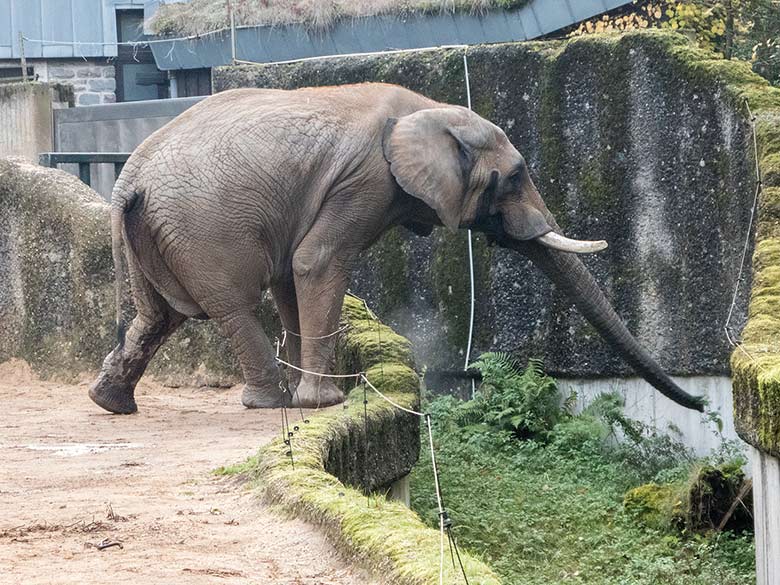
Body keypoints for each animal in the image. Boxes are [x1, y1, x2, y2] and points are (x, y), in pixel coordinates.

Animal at [88, 82, 704, 412]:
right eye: (514, 176)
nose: (699, 404)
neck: (428, 107)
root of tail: (127, 176)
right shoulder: (366, 180)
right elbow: (315, 261)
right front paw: (324, 404)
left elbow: (293, 273)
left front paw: (321, 395)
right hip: (204, 228)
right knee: (231, 305)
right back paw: (273, 403)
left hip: (158, 232)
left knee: (157, 316)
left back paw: (110, 403)